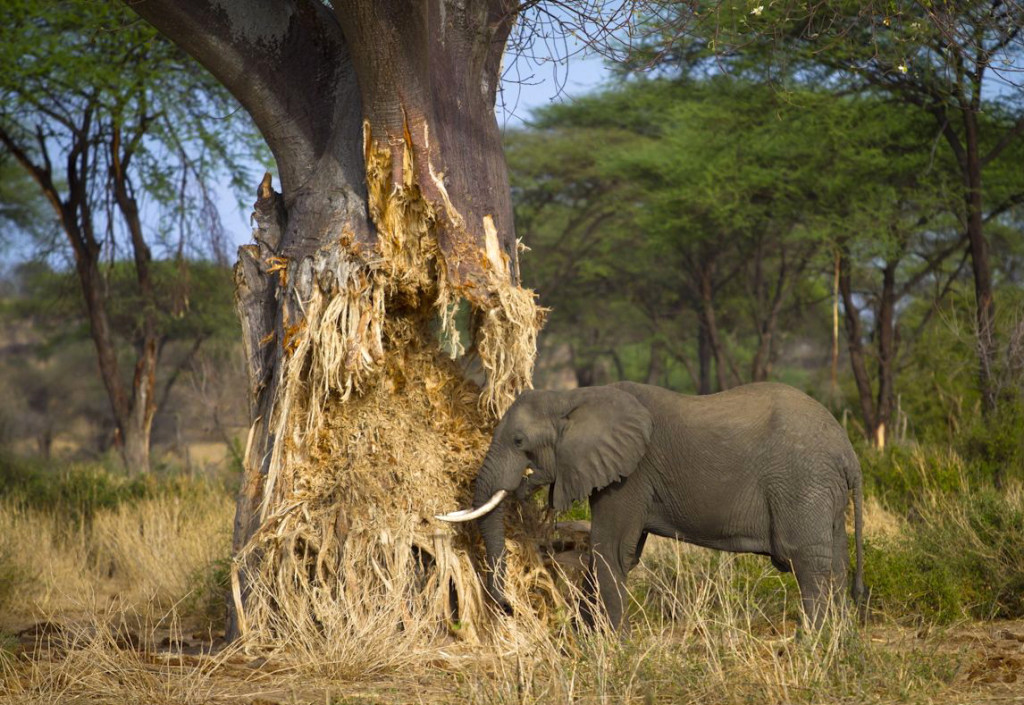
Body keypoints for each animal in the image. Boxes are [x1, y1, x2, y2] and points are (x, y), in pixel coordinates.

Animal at [438, 383, 864, 631]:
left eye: (519, 441)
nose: (509, 608)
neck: (576, 397)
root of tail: (850, 454)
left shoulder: (631, 474)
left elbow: (610, 550)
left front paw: (613, 647)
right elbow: (612, 554)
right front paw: (586, 637)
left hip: (802, 483)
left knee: (807, 563)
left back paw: (813, 646)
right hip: (823, 493)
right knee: (836, 560)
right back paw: (842, 647)